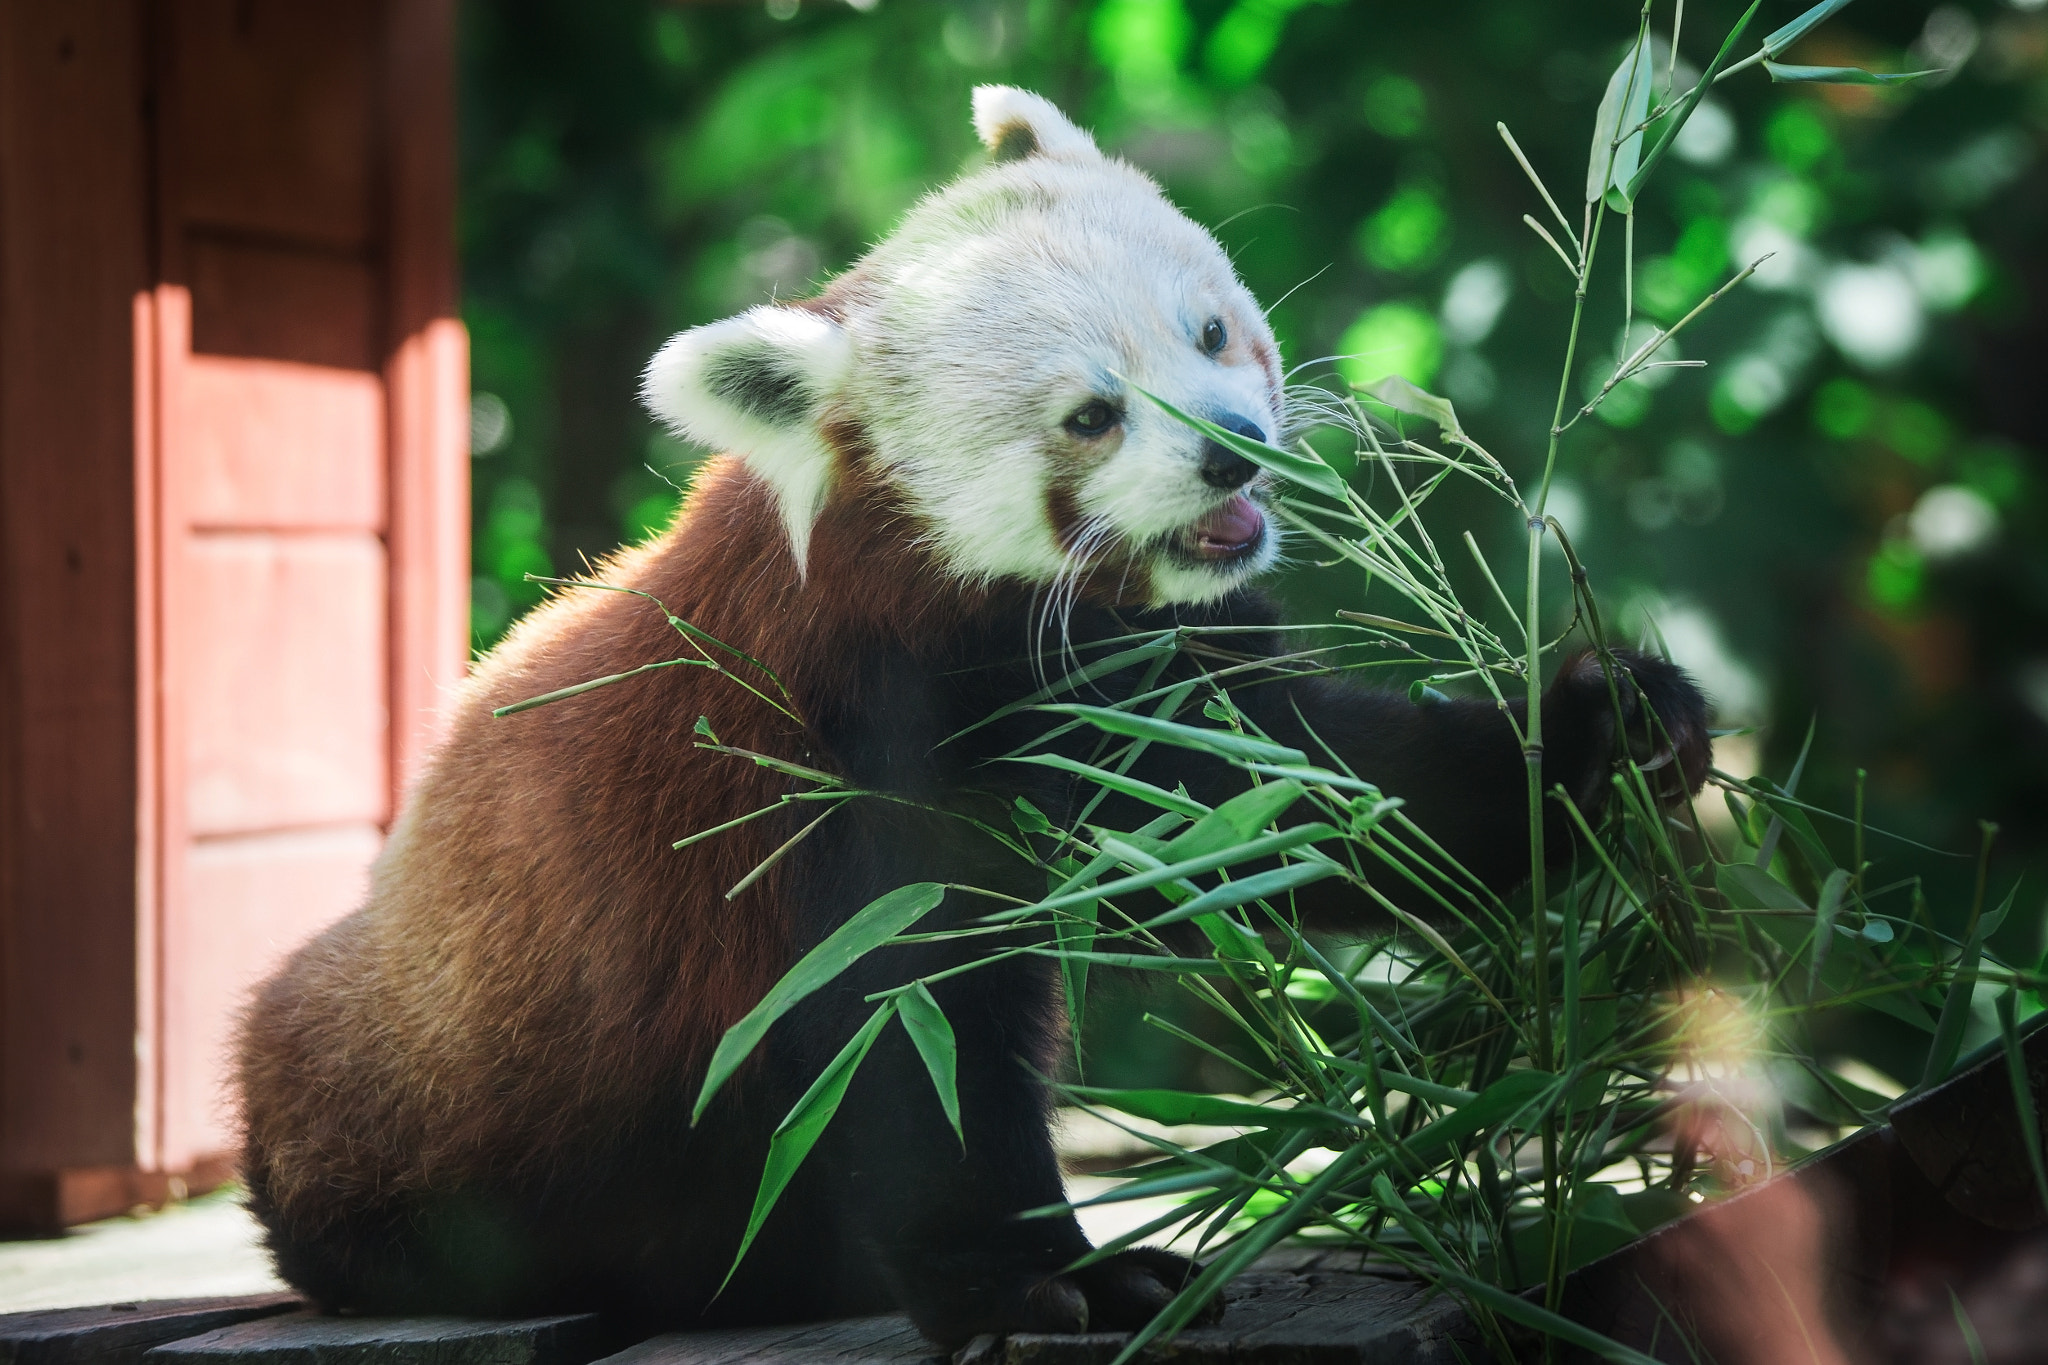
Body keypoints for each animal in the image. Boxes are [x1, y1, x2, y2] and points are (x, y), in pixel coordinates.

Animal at [235, 90, 1712, 1350]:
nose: (1230, 448)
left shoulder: (1162, 688)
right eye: (1091, 416)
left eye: (1210, 333)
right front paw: (1045, 1281)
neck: (1016, 635)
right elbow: (911, 1036)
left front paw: (1600, 734)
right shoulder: (843, 771)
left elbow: (1308, 801)